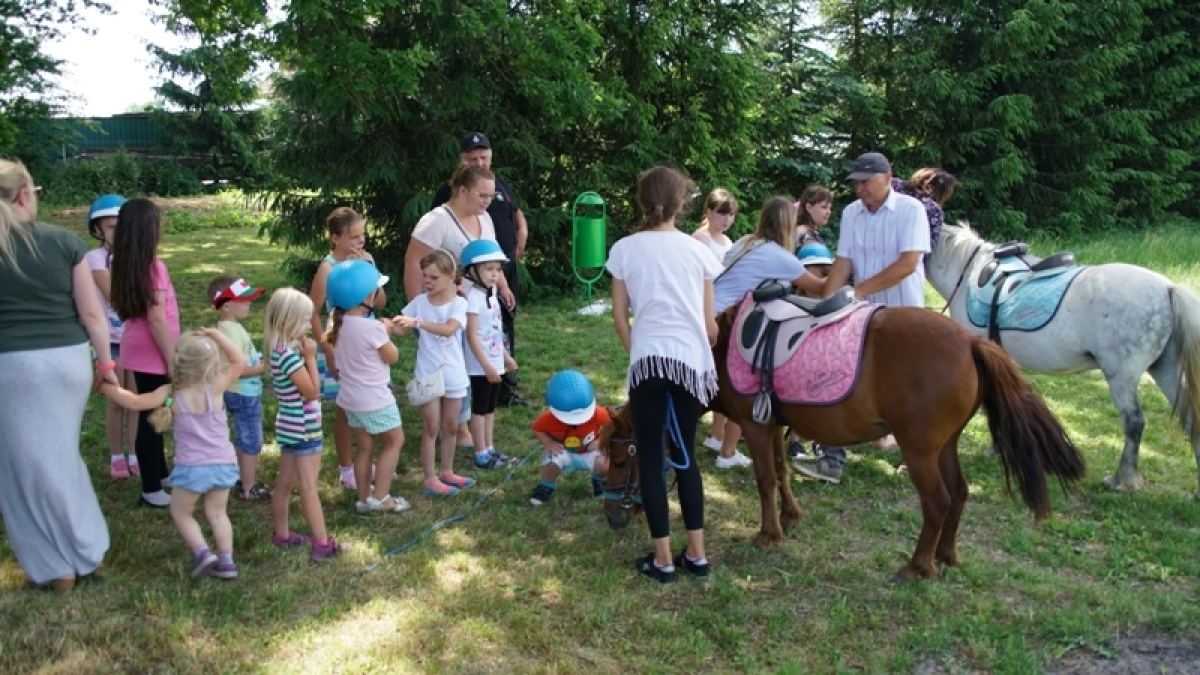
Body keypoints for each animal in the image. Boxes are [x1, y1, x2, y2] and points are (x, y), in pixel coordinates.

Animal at [601, 303, 1087, 581]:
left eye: (621, 460)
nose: (612, 516)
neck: (716, 353)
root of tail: (970, 340)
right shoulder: (773, 426)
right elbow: (782, 472)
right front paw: (791, 517)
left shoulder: (756, 429)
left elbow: (764, 479)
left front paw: (768, 534)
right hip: (944, 447)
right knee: (961, 494)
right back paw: (946, 555)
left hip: (919, 451)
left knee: (938, 502)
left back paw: (918, 566)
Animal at [927, 222, 1200, 497]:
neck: (967, 273)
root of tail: (1167, 288)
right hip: (1165, 370)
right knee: (1190, 419)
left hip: (1122, 376)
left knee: (1134, 421)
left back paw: (1122, 480)